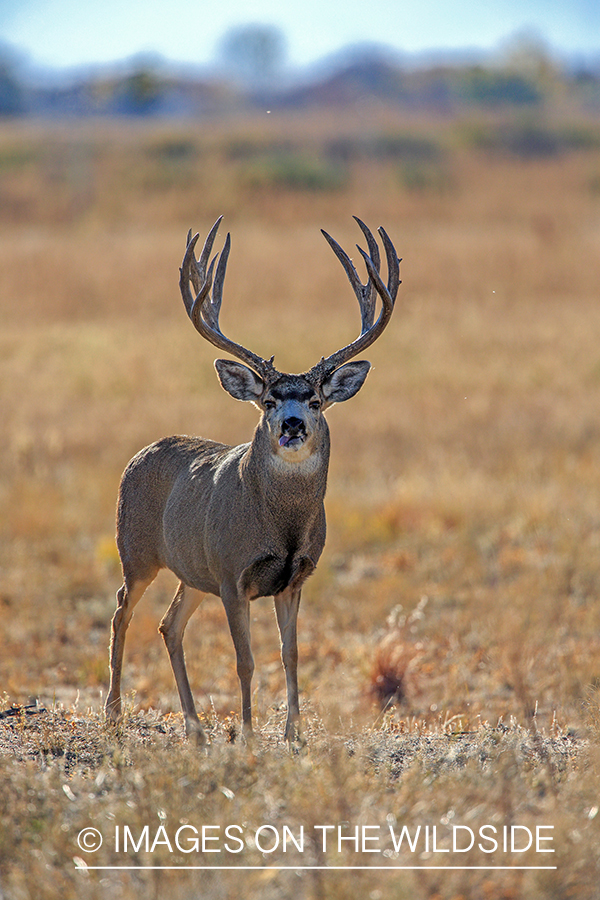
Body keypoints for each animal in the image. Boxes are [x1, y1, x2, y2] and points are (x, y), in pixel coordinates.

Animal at [105, 214, 400, 740]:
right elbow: (245, 661)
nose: (292, 424)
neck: (280, 526)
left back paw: (196, 729)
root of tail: (139, 454)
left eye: (315, 400)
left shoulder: (295, 578)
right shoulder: (231, 573)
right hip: (136, 551)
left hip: (191, 571)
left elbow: (291, 655)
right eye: (267, 401)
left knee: (169, 624)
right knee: (123, 611)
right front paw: (245, 732)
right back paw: (114, 712)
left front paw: (292, 734)